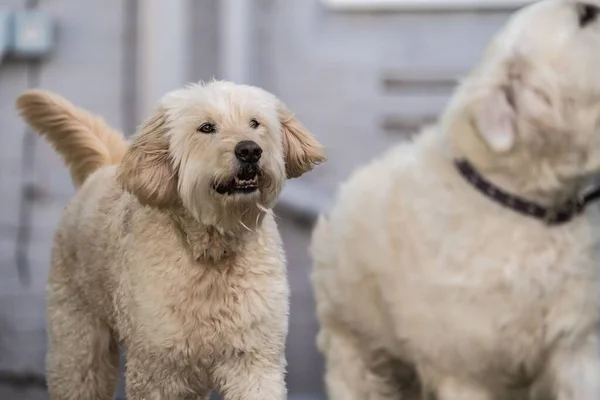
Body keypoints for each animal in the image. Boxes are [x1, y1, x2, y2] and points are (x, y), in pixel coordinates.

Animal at [16, 79, 326, 398]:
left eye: (255, 123)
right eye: (206, 127)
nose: (250, 150)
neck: (212, 252)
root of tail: (104, 168)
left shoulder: (253, 360)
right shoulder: (159, 370)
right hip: (78, 342)